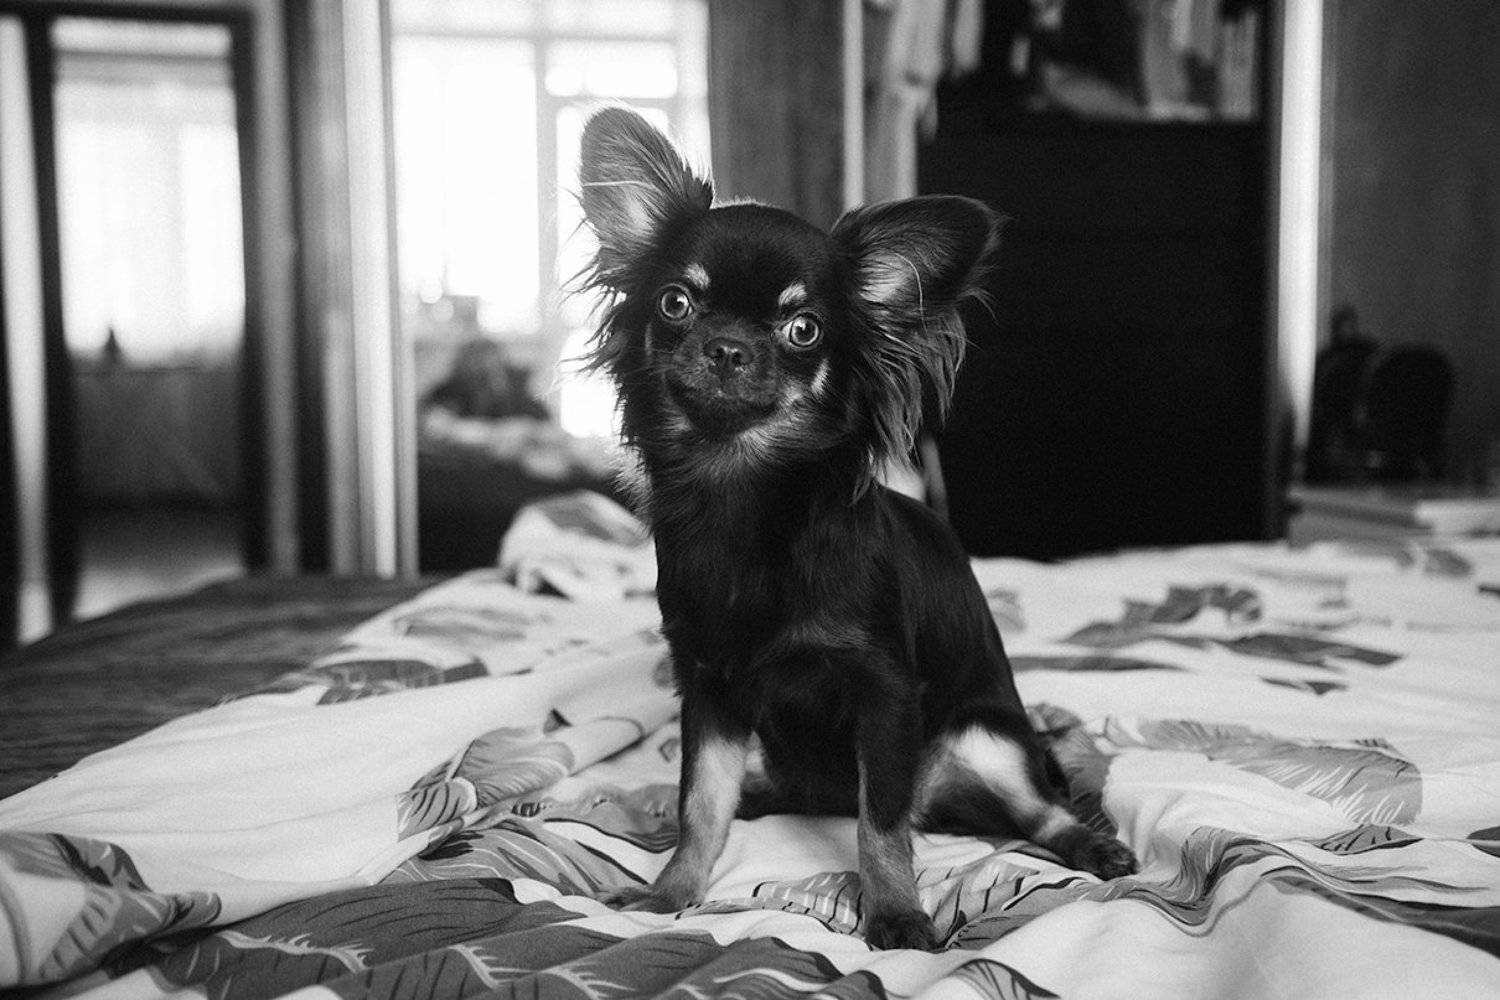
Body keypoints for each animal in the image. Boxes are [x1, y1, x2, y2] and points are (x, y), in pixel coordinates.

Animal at [577, 106, 1136, 951]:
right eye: (675, 304)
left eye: (804, 329)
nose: (727, 346)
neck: (745, 497)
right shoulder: (710, 691)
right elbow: (699, 803)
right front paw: (671, 890)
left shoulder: (885, 693)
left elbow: (882, 825)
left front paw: (897, 914)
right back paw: (755, 796)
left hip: (986, 737)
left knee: (1036, 811)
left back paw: (1091, 845)